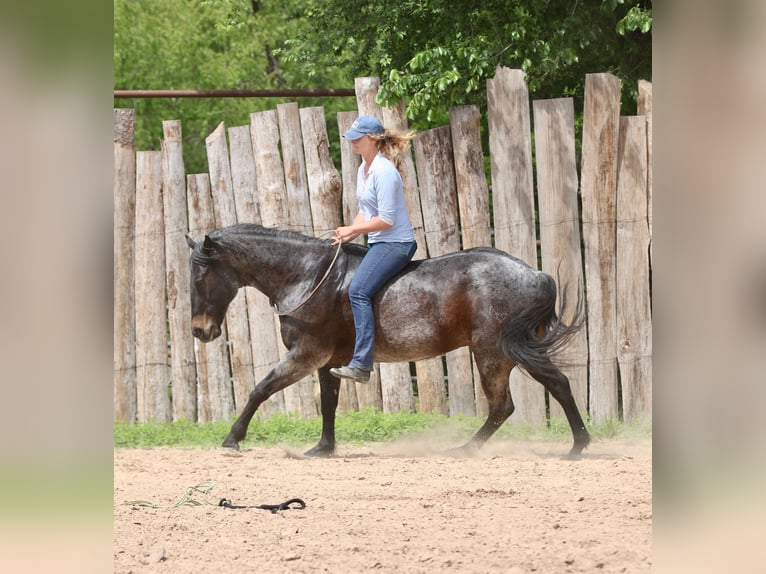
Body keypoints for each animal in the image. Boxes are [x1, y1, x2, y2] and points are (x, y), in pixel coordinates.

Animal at [186, 223, 590, 456]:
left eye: (200, 276)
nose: (200, 331)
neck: (308, 276)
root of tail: (534, 274)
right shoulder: (329, 361)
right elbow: (328, 404)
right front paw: (323, 448)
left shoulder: (306, 354)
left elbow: (261, 389)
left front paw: (232, 438)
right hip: (515, 350)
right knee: (557, 383)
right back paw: (578, 444)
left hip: (492, 351)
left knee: (503, 405)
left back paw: (465, 449)